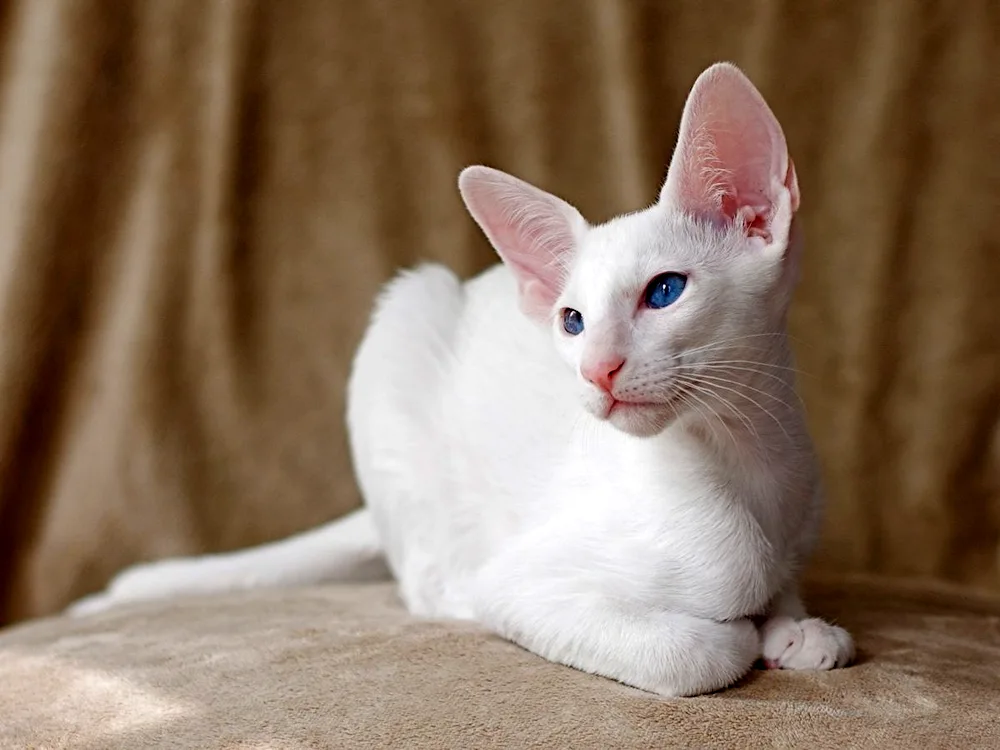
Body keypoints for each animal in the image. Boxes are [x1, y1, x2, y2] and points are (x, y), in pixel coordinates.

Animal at [70, 63, 852, 700]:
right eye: (572, 321)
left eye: (664, 291)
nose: (596, 367)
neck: (746, 463)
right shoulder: (523, 584)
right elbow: (694, 654)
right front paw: (746, 634)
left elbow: (789, 597)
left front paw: (798, 628)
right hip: (405, 312)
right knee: (428, 578)